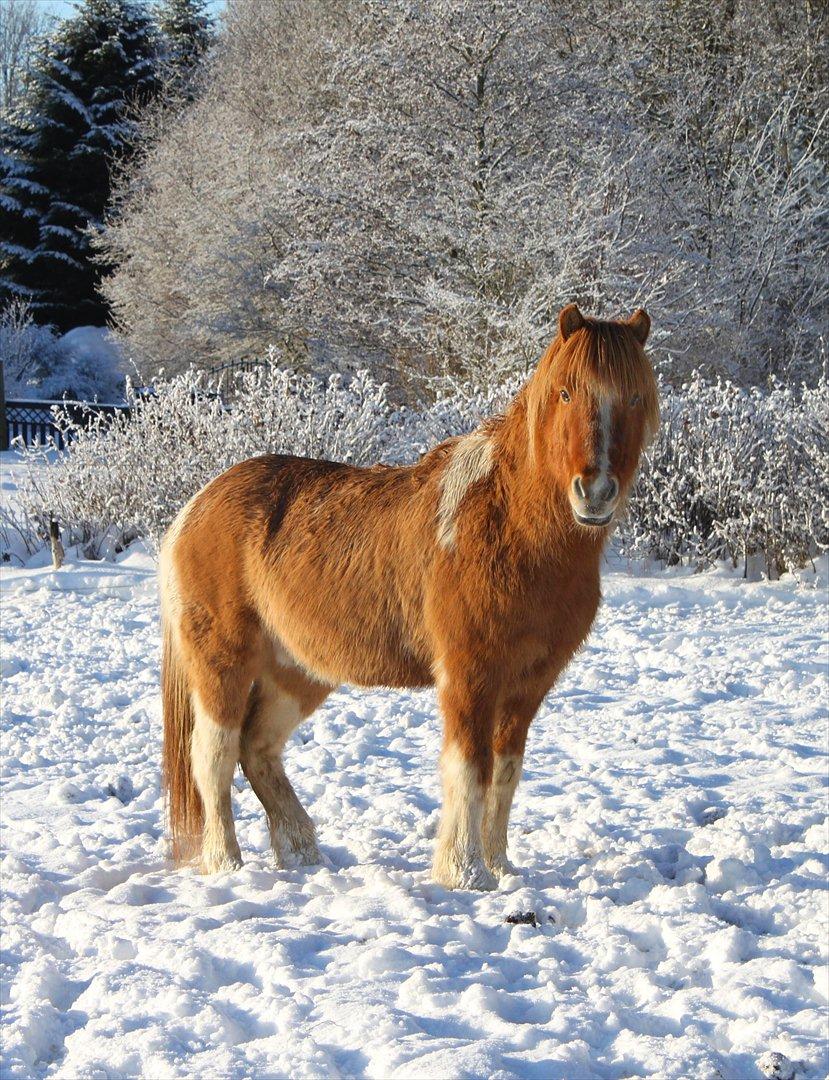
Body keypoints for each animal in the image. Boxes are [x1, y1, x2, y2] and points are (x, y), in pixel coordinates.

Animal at [158, 304, 656, 885]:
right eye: (566, 393)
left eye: (636, 398)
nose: (595, 492)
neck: (510, 527)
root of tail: (196, 505)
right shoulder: (469, 676)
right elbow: (471, 770)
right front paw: (465, 873)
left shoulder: (528, 684)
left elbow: (506, 774)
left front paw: (501, 868)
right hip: (223, 664)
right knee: (213, 755)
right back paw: (227, 865)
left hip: (297, 671)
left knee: (257, 748)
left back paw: (302, 855)